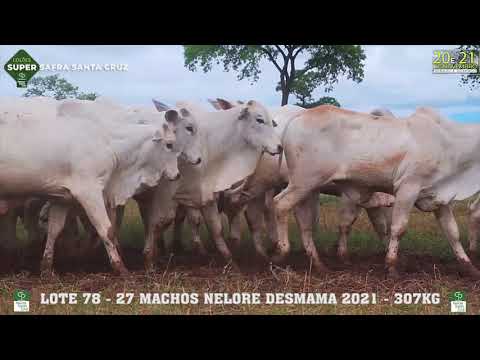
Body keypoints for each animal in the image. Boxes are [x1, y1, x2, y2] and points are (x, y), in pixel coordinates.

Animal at [0, 97, 182, 274]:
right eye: (169, 145)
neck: (108, 143)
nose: (178, 175)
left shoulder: (62, 198)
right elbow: (107, 230)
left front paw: (46, 268)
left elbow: (54, 230)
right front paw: (121, 269)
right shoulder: (89, 192)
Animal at [272, 104, 480, 278]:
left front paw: (469, 267)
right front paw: (391, 266)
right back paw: (281, 252)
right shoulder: (408, 188)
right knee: (280, 205)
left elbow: (452, 232)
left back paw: (318, 264)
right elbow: (398, 228)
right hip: (303, 182)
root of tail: (298, 117)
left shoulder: (439, 198)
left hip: (307, 188)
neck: (450, 143)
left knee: (304, 223)